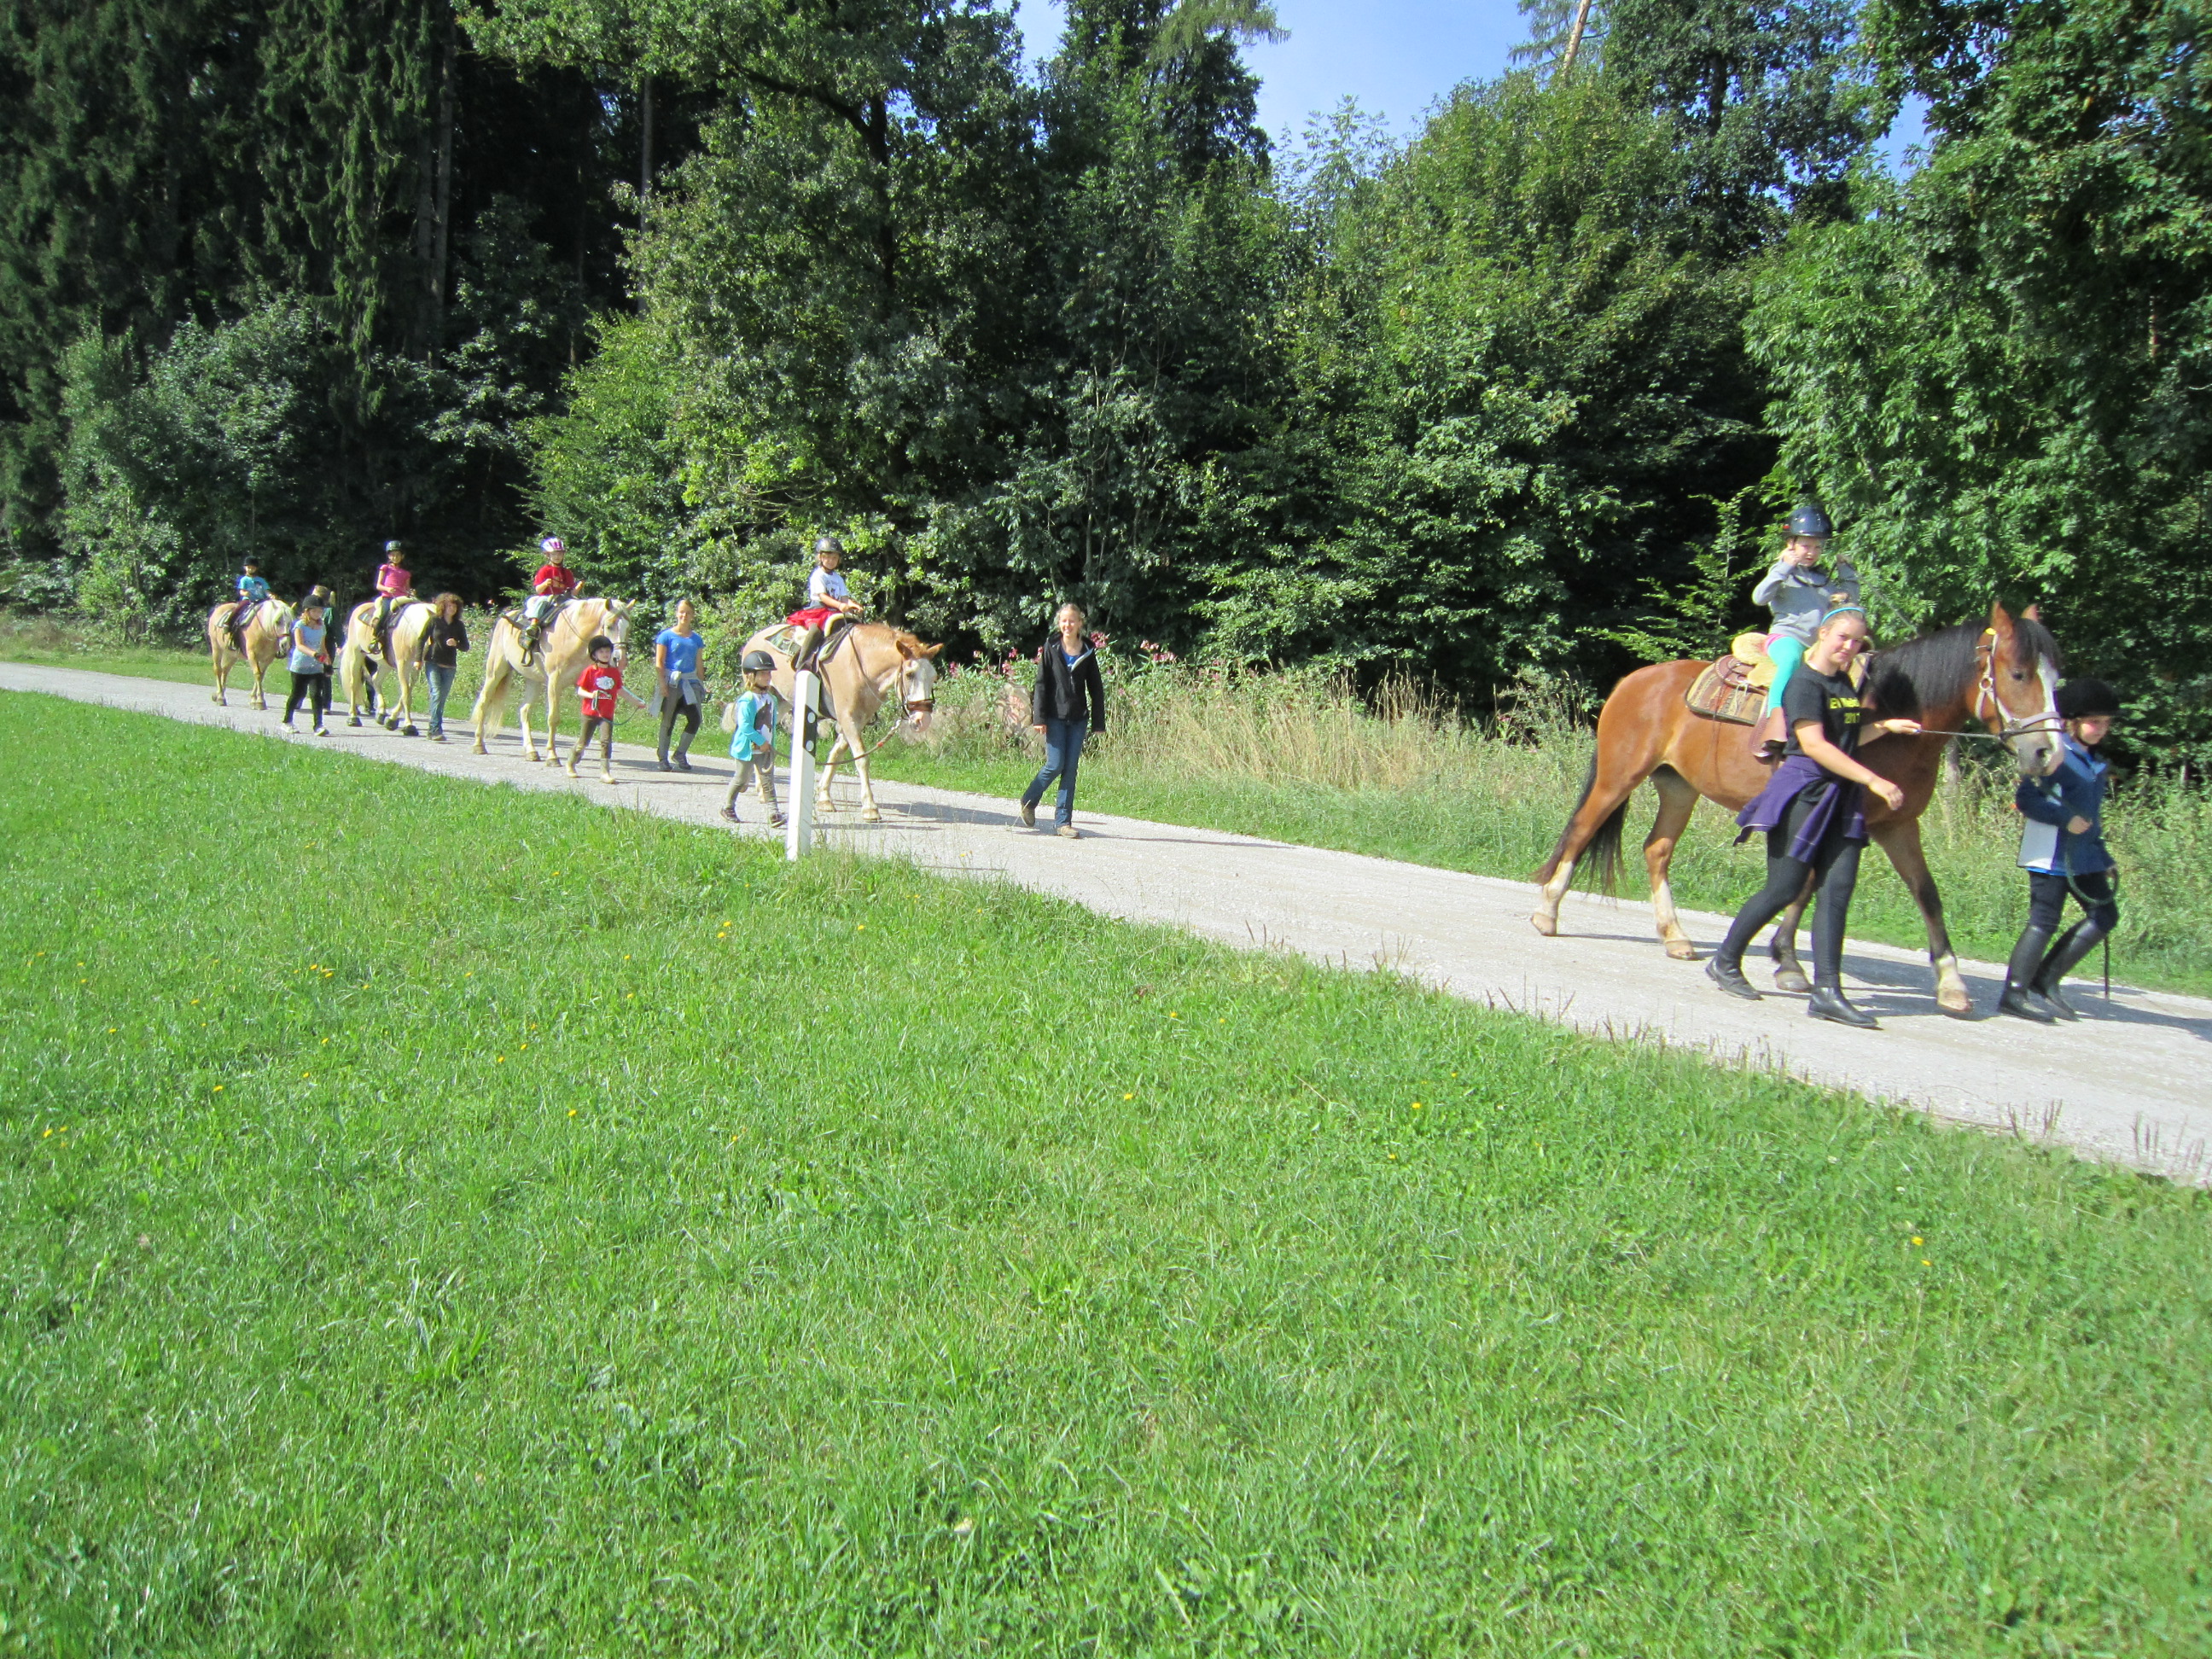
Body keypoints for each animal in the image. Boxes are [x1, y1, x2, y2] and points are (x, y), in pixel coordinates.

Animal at [204, 602, 294, 712]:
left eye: (291, 623)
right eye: (277, 622)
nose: (285, 645)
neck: (262, 629)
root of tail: (219, 608)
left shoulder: (267, 659)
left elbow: (261, 676)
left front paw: (254, 700)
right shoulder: (252, 655)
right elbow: (258, 674)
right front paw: (260, 702)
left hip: (231, 655)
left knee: (225, 671)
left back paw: (218, 695)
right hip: (216, 648)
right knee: (218, 670)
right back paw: (220, 698)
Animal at [335, 592, 435, 730]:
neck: (411, 629)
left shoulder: (415, 667)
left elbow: (406, 693)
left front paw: (392, 719)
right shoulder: (403, 665)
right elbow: (406, 695)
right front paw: (408, 725)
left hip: (385, 664)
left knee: (376, 680)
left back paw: (381, 713)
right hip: (356, 654)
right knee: (353, 683)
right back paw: (353, 717)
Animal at [471, 597, 637, 765]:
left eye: (628, 628)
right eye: (609, 626)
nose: (620, 660)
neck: (572, 638)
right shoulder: (554, 682)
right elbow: (553, 718)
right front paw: (552, 756)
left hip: (534, 681)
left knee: (524, 710)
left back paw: (531, 751)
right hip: (495, 671)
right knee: (484, 702)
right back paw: (479, 745)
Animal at [742, 623, 942, 827]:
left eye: (933, 677)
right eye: (909, 675)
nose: (923, 719)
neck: (861, 666)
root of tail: (756, 637)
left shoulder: (857, 720)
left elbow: (837, 754)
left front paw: (824, 797)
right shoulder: (848, 718)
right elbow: (861, 759)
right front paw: (870, 808)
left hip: (782, 703)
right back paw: (761, 790)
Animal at [1530, 606, 2061, 1022]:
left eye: (2056, 678)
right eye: (2018, 674)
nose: (2046, 753)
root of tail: (1636, 679)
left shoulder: (1897, 824)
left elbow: (1923, 894)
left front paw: (1951, 985)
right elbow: (1808, 884)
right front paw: (1789, 963)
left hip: (1679, 789)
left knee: (1656, 849)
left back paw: (1675, 937)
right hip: (1619, 777)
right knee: (1581, 830)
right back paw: (1548, 912)